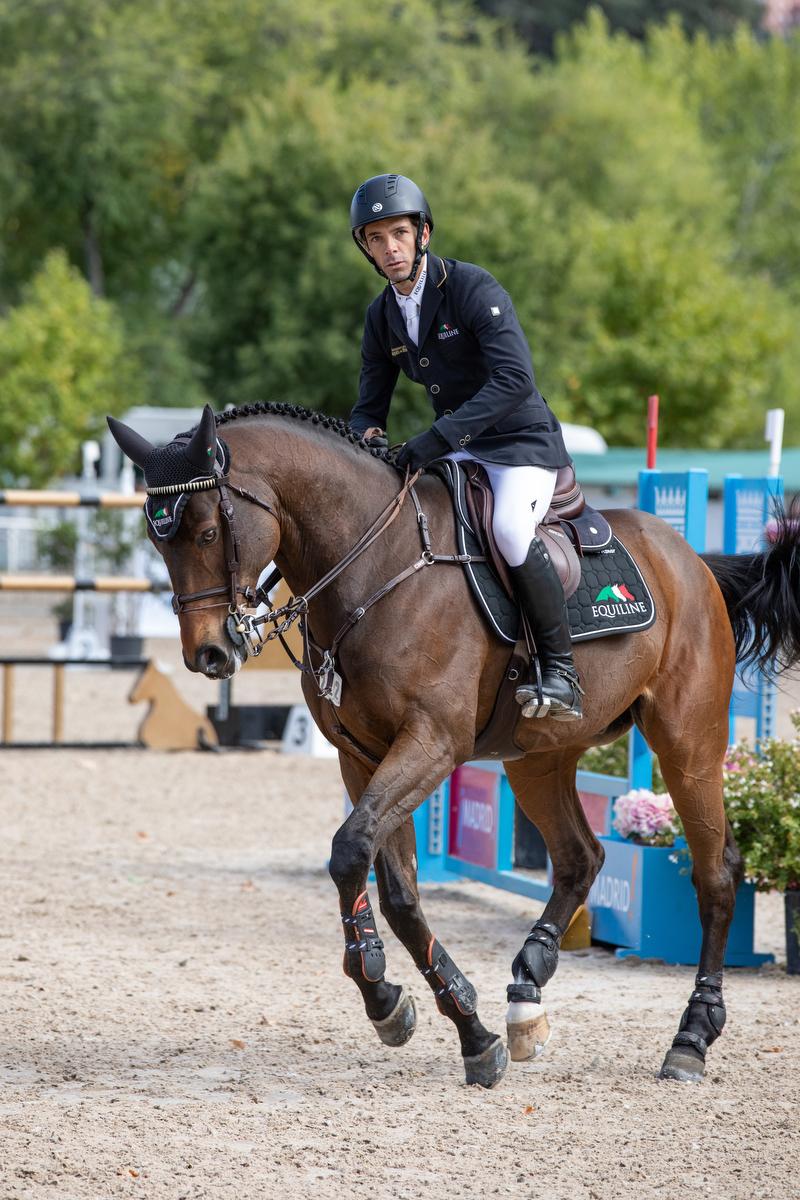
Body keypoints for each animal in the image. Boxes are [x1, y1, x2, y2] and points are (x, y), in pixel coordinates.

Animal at [107, 403, 800, 1089]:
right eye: (157, 539)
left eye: (205, 532)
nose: (208, 655)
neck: (372, 563)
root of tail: (692, 559)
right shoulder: (362, 755)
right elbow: (391, 884)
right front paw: (407, 1006)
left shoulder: (430, 744)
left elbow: (353, 853)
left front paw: (447, 1019)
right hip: (538, 757)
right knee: (581, 858)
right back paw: (526, 993)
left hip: (688, 742)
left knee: (716, 874)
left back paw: (691, 1037)